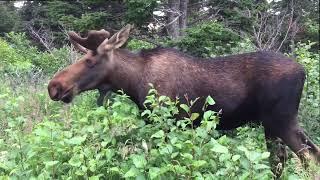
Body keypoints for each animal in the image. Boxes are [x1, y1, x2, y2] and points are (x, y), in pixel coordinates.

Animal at [48, 23, 320, 176]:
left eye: (90, 61)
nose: (54, 86)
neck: (133, 82)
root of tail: (303, 71)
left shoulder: (170, 122)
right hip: (274, 124)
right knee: (285, 160)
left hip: (280, 120)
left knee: (308, 158)